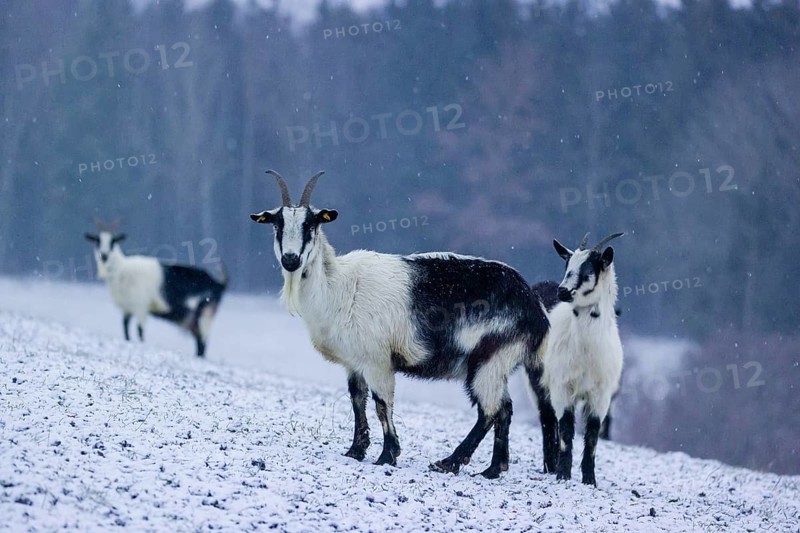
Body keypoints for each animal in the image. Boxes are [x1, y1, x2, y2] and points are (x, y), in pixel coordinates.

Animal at [84, 220, 227, 357]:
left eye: (113, 241)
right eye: (97, 241)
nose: (104, 255)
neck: (122, 270)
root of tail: (219, 284)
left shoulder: (141, 306)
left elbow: (140, 331)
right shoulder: (127, 308)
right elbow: (125, 328)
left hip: (205, 315)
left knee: (202, 343)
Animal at [250, 170, 550, 478]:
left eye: (310, 224)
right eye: (277, 225)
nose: (291, 260)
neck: (338, 286)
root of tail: (535, 309)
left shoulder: (378, 361)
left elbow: (382, 404)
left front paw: (387, 455)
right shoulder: (354, 362)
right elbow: (357, 400)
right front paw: (355, 451)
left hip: (489, 359)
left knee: (489, 410)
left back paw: (449, 462)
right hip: (498, 364)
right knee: (505, 409)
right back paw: (492, 468)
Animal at [531, 232, 624, 486]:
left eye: (588, 269)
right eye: (567, 265)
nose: (563, 291)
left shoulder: (602, 395)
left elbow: (592, 434)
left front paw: (589, 479)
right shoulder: (562, 386)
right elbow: (565, 429)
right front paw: (563, 474)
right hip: (537, 378)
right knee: (547, 418)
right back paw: (550, 465)